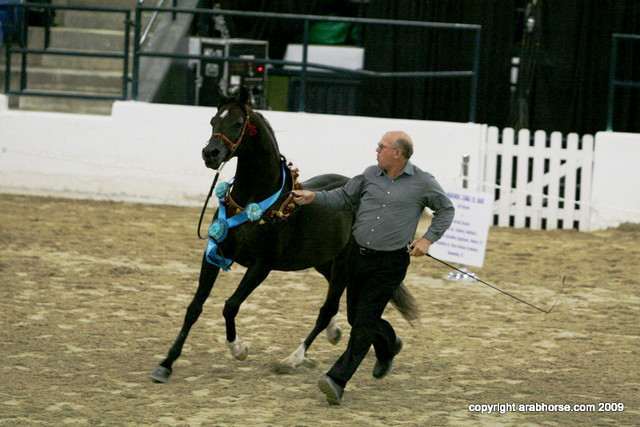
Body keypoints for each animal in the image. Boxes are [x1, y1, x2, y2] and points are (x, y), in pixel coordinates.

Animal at [150, 86, 418, 383]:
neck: (255, 201)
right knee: (345, 308)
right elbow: (194, 307)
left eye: (238, 123)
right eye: (213, 121)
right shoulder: (213, 256)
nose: (211, 153)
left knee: (329, 309)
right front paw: (166, 363)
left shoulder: (261, 266)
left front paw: (239, 349)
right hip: (324, 262)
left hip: (343, 264)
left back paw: (293, 359)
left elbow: (230, 305)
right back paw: (367, 341)